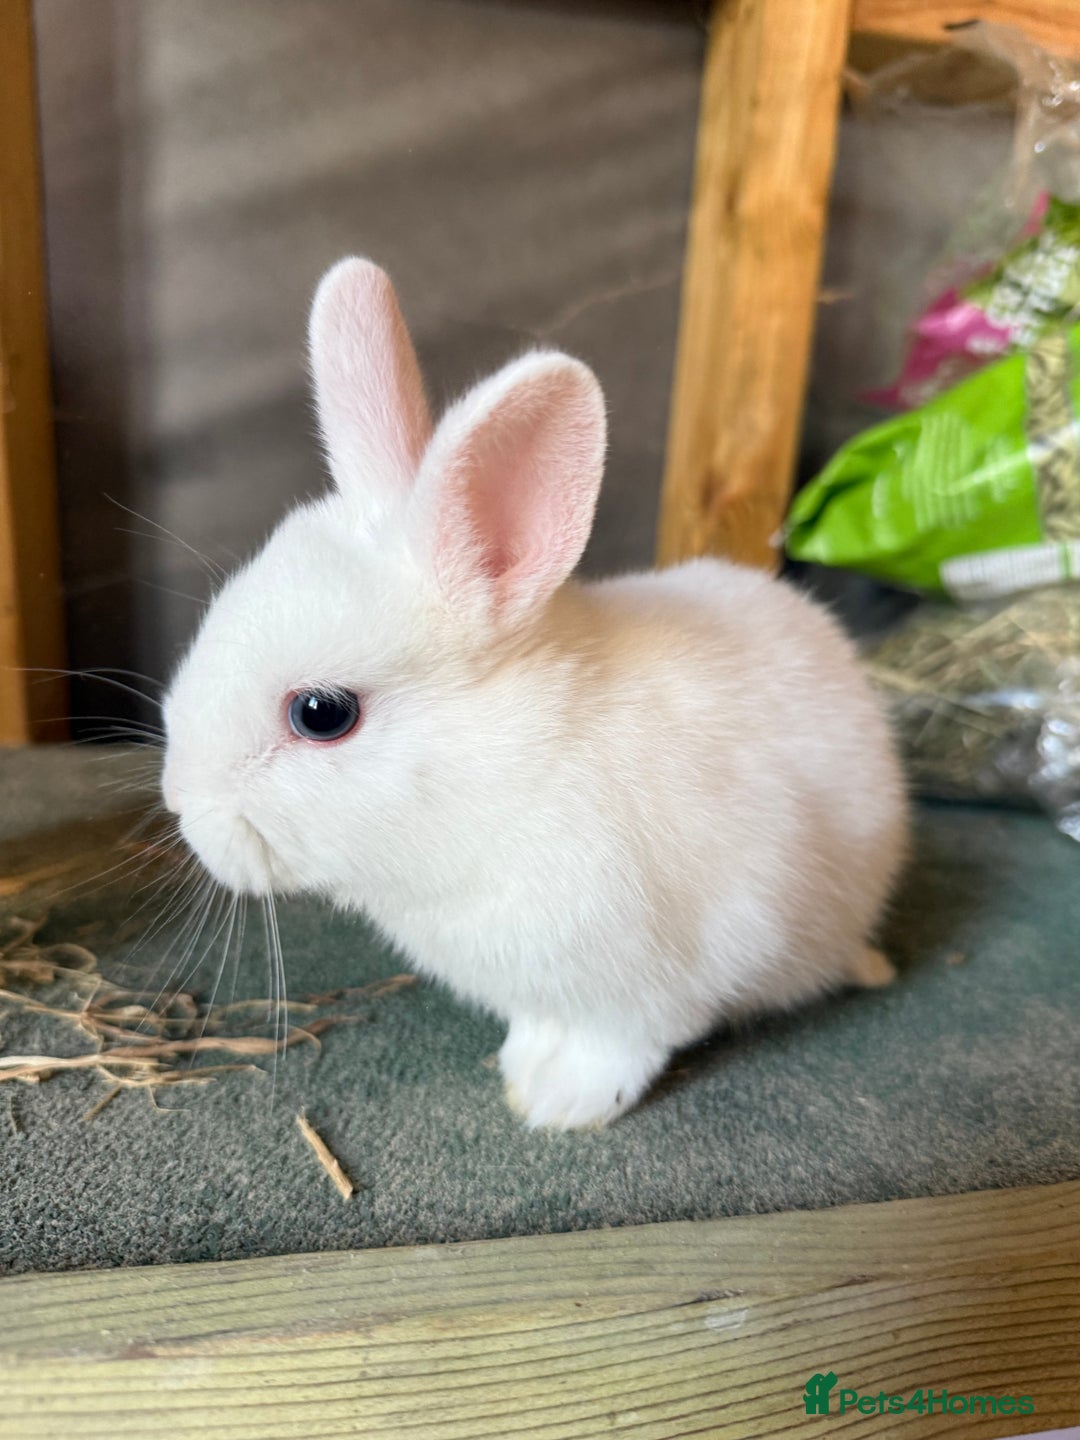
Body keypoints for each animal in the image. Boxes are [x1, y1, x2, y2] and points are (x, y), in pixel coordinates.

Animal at [162, 257, 909, 1130]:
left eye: (321, 714)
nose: (181, 805)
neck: (507, 774)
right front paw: (522, 1065)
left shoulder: (677, 959)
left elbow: (624, 1040)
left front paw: (560, 1104)